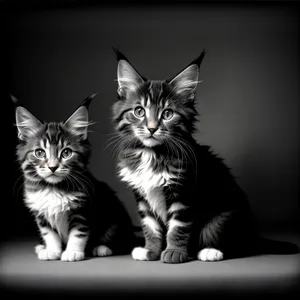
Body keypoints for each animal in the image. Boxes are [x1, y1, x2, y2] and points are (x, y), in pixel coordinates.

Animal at [13, 95, 134, 262]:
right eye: (40, 152)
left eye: (66, 153)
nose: (52, 167)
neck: (53, 188)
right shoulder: (41, 214)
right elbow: (49, 234)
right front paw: (52, 250)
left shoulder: (83, 210)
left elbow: (78, 234)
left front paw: (72, 252)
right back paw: (41, 247)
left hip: (116, 216)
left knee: (122, 241)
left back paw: (102, 248)